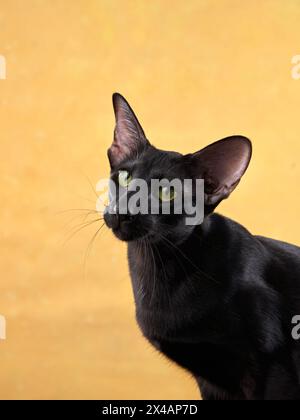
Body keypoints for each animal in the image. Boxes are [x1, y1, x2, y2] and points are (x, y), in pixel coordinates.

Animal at [103, 92, 300, 400]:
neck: (157, 266)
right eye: (125, 177)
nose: (124, 211)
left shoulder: (275, 368)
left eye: (167, 192)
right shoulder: (212, 381)